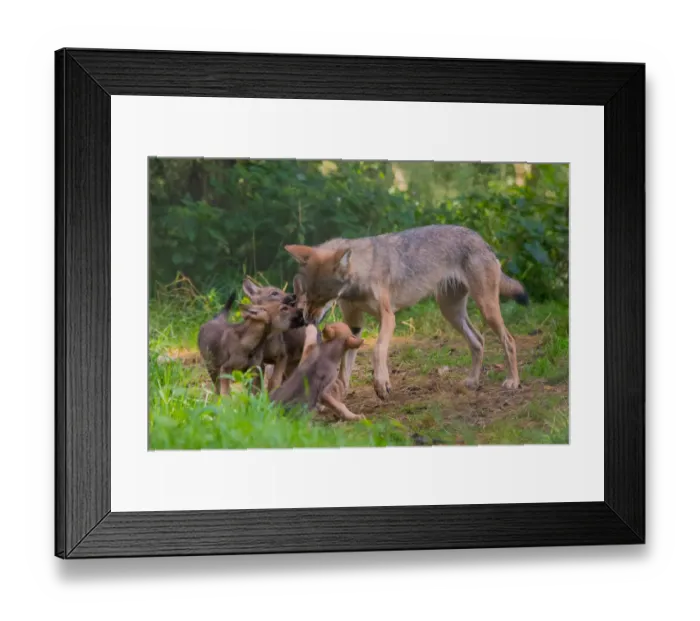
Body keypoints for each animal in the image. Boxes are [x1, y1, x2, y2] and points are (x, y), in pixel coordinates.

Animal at [285, 224, 529, 401]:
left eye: (321, 297)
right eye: (305, 294)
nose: (307, 320)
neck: (361, 274)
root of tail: (481, 239)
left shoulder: (388, 318)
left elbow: (378, 350)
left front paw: (381, 385)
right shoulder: (354, 325)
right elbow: (346, 363)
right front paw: (341, 391)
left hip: (486, 310)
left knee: (509, 340)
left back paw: (513, 382)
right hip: (451, 313)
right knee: (478, 341)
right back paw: (473, 382)